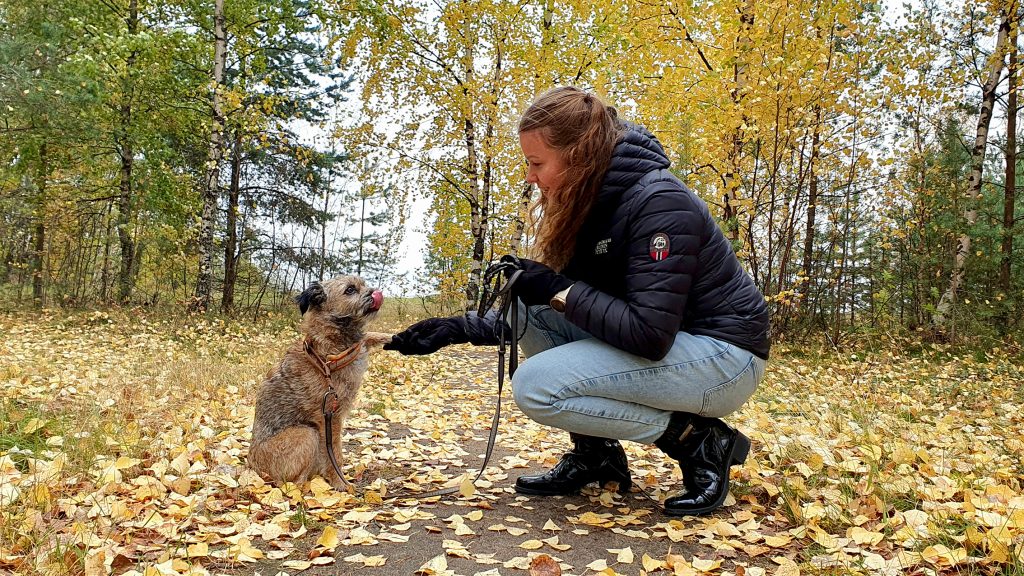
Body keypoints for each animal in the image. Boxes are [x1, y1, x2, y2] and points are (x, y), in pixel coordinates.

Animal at [249, 276, 389, 491]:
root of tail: (252, 468)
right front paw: (339, 482)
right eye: (350, 290)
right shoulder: (329, 417)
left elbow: (368, 337)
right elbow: (335, 454)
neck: (327, 359)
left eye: (364, 284)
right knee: (291, 484)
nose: (375, 293)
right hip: (307, 434)